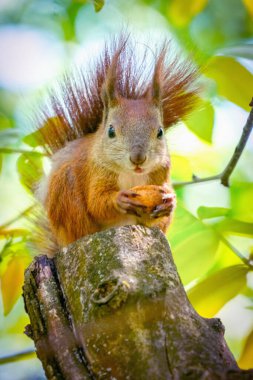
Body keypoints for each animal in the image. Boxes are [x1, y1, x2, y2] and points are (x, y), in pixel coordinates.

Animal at [34, 35, 199, 252]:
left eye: (160, 132)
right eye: (111, 131)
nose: (138, 158)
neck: (131, 174)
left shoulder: (161, 174)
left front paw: (169, 203)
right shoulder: (97, 171)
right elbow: (96, 202)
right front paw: (119, 200)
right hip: (66, 194)